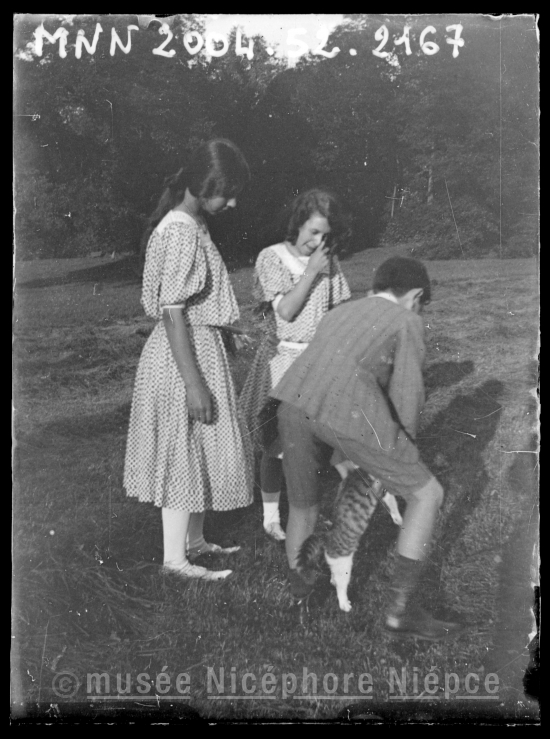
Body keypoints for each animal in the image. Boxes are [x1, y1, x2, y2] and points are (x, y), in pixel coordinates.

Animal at [297, 468, 403, 612]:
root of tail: (327, 536)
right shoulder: (382, 486)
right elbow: (392, 499)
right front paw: (398, 517)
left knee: (334, 574)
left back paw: (333, 580)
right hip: (344, 563)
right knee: (341, 585)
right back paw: (344, 603)